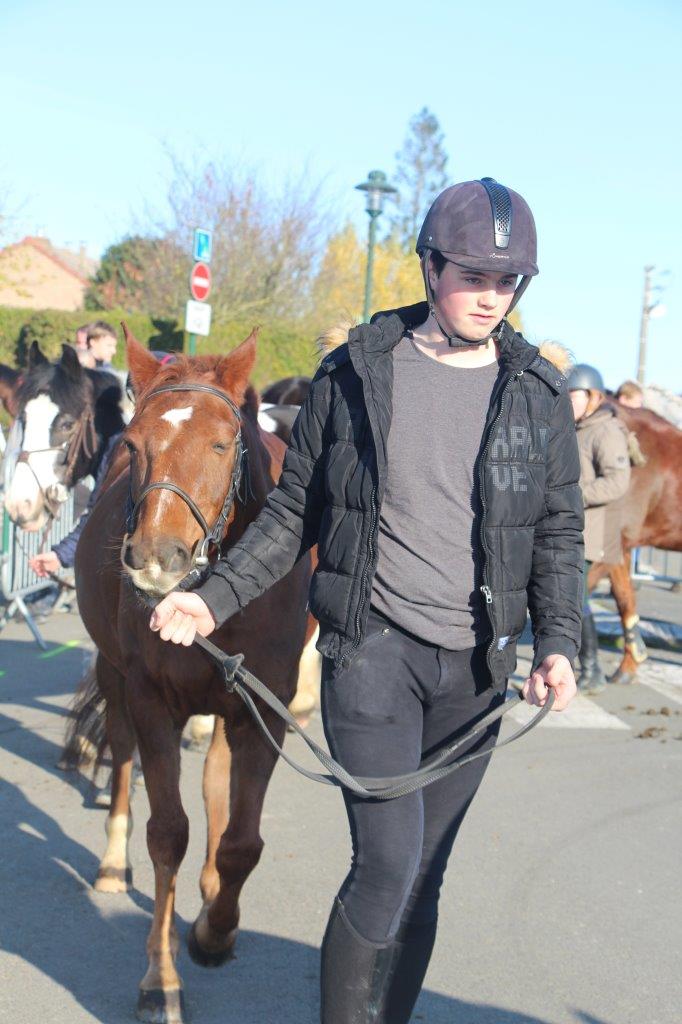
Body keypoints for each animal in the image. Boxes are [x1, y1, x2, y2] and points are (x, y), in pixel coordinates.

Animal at [72, 329, 311, 1024]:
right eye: (132, 444)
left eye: (221, 443)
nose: (157, 559)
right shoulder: (151, 697)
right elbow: (167, 832)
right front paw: (160, 977)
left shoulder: (264, 707)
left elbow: (240, 838)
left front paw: (216, 928)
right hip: (116, 674)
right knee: (122, 754)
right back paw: (111, 859)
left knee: (214, 784)